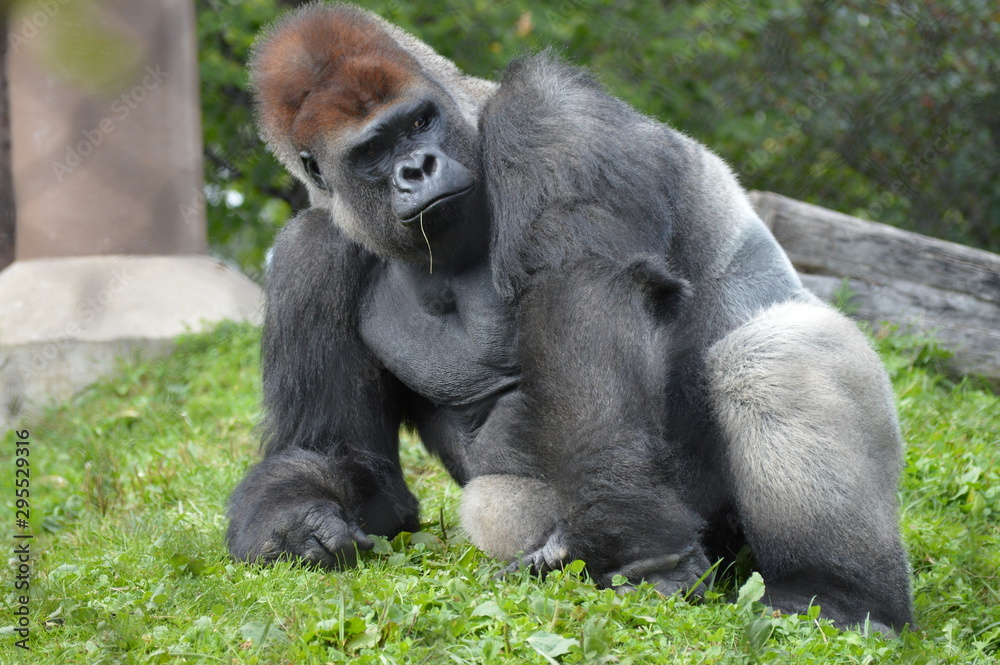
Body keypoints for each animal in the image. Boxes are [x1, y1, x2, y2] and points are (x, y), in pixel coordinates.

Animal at [226, 3, 913, 633]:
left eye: (419, 122)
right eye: (373, 150)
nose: (418, 167)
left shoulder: (549, 116)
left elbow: (585, 293)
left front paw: (639, 551)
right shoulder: (308, 256)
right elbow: (347, 461)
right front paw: (295, 523)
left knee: (773, 350)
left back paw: (837, 594)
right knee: (499, 504)